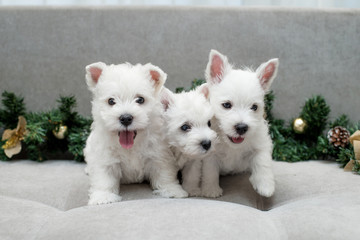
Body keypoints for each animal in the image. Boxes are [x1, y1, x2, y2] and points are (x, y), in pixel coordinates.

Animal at [84, 61, 188, 204]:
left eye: (140, 99)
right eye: (111, 101)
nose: (126, 118)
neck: (132, 145)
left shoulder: (159, 154)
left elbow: (165, 174)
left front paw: (172, 190)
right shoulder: (105, 157)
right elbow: (104, 178)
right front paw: (103, 197)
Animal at [201, 49, 280, 198]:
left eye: (254, 107)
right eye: (226, 105)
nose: (242, 127)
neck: (232, 146)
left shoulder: (261, 142)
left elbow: (262, 161)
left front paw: (265, 186)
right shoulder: (210, 154)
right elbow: (210, 171)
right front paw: (211, 190)